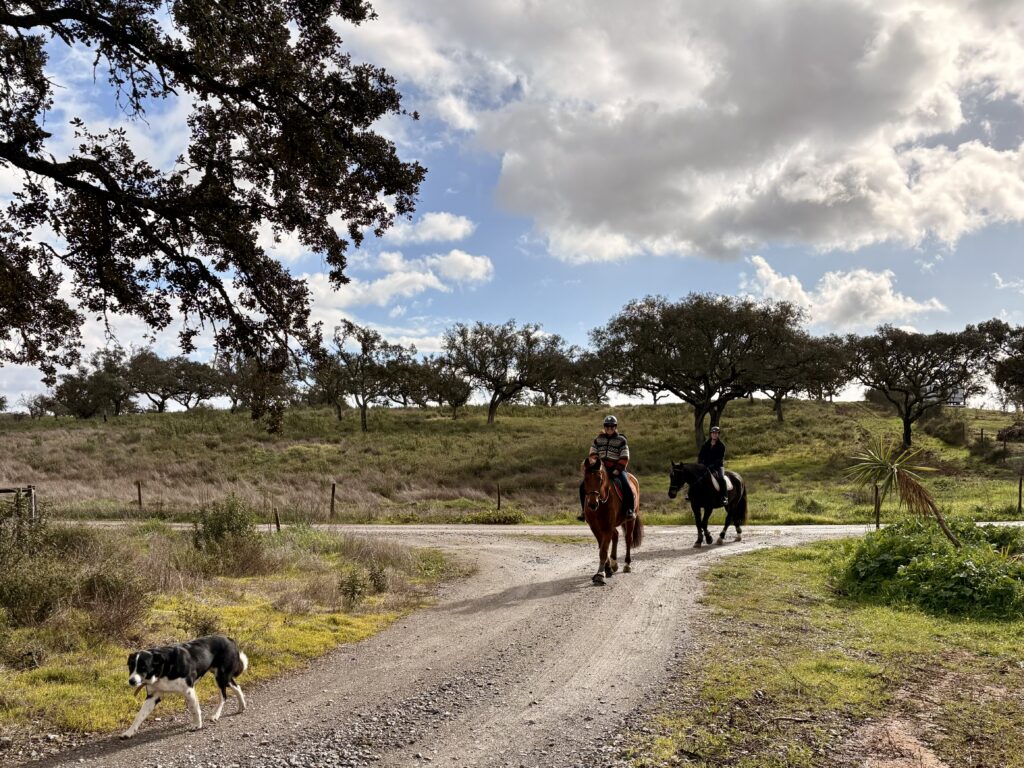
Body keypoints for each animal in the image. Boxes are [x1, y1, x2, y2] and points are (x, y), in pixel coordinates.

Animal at [581, 456, 643, 589]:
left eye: (599, 479)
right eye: (586, 479)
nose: (592, 504)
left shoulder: (607, 527)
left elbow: (603, 551)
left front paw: (600, 575)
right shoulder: (595, 528)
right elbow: (602, 547)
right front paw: (607, 568)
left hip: (631, 520)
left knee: (628, 539)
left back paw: (627, 564)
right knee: (616, 536)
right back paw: (614, 563)